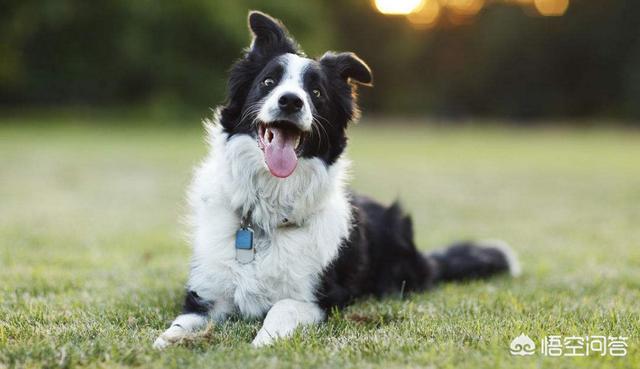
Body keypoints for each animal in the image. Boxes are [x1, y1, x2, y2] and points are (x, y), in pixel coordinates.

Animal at [155, 10, 520, 348]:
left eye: (316, 92)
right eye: (268, 83)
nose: (291, 101)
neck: (266, 216)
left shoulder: (322, 298)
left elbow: (282, 307)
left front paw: (261, 342)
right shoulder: (205, 295)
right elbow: (181, 323)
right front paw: (167, 341)